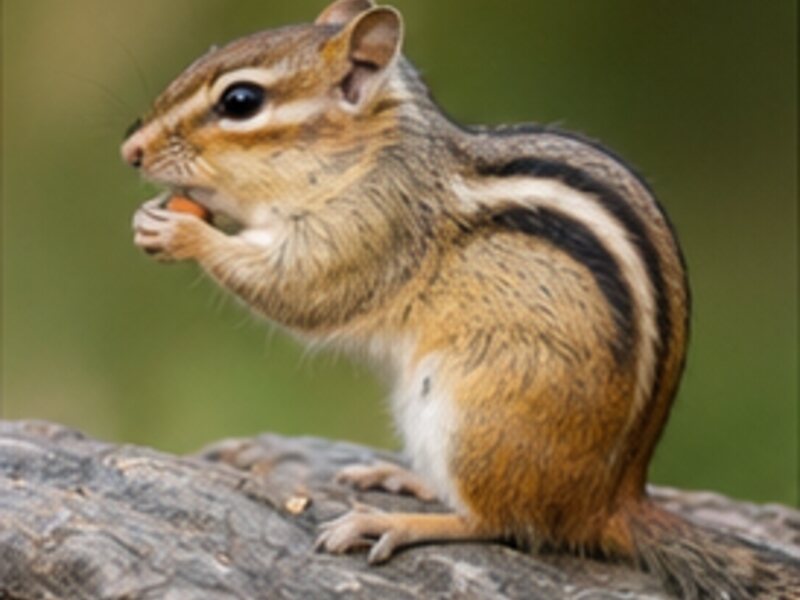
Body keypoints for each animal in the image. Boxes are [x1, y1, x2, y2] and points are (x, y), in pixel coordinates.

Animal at [121, 1, 799, 597]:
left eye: (240, 102)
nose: (130, 150)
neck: (371, 154)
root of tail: (611, 501)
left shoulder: (371, 230)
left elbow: (302, 291)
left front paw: (182, 233)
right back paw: (402, 478)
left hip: (472, 410)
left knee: (501, 523)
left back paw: (390, 520)